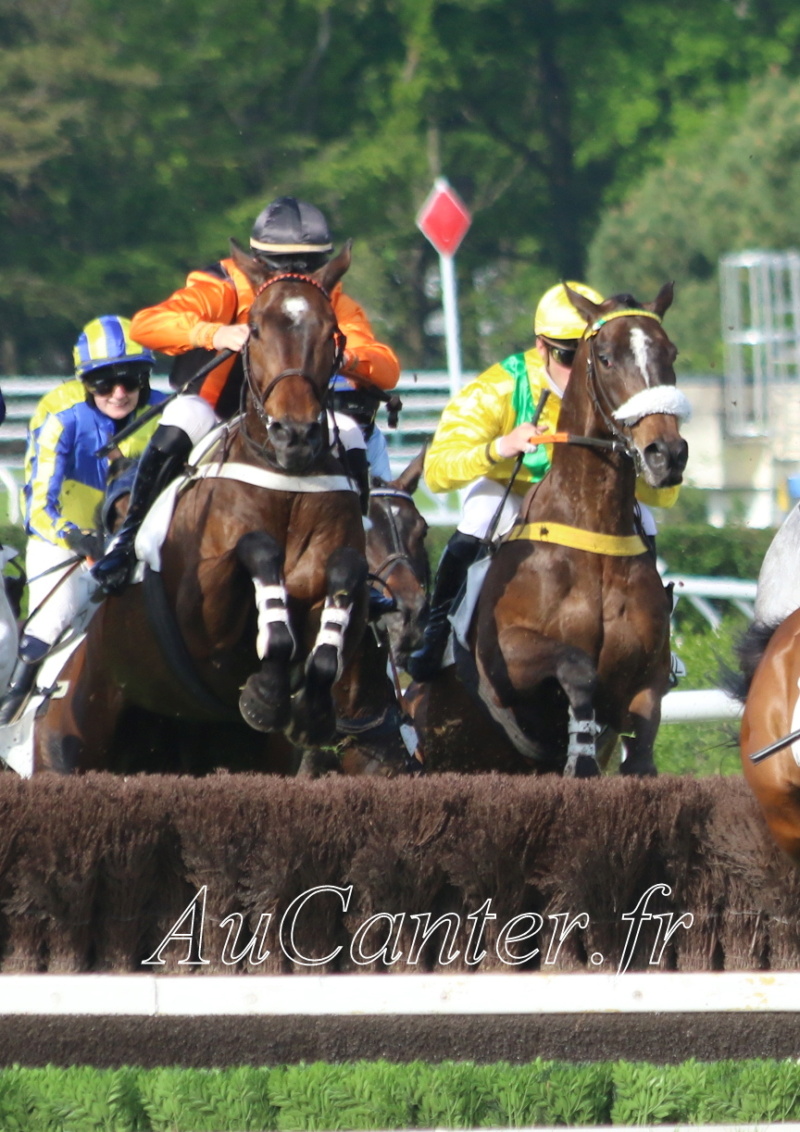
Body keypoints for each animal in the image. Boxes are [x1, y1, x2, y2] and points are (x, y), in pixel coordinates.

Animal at [418, 285, 687, 778]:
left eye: (670, 352)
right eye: (605, 357)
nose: (666, 453)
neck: (594, 536)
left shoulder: (649, 672)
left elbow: (642, 738)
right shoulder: (507, 659)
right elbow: (577, 666)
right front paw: (580, 753)